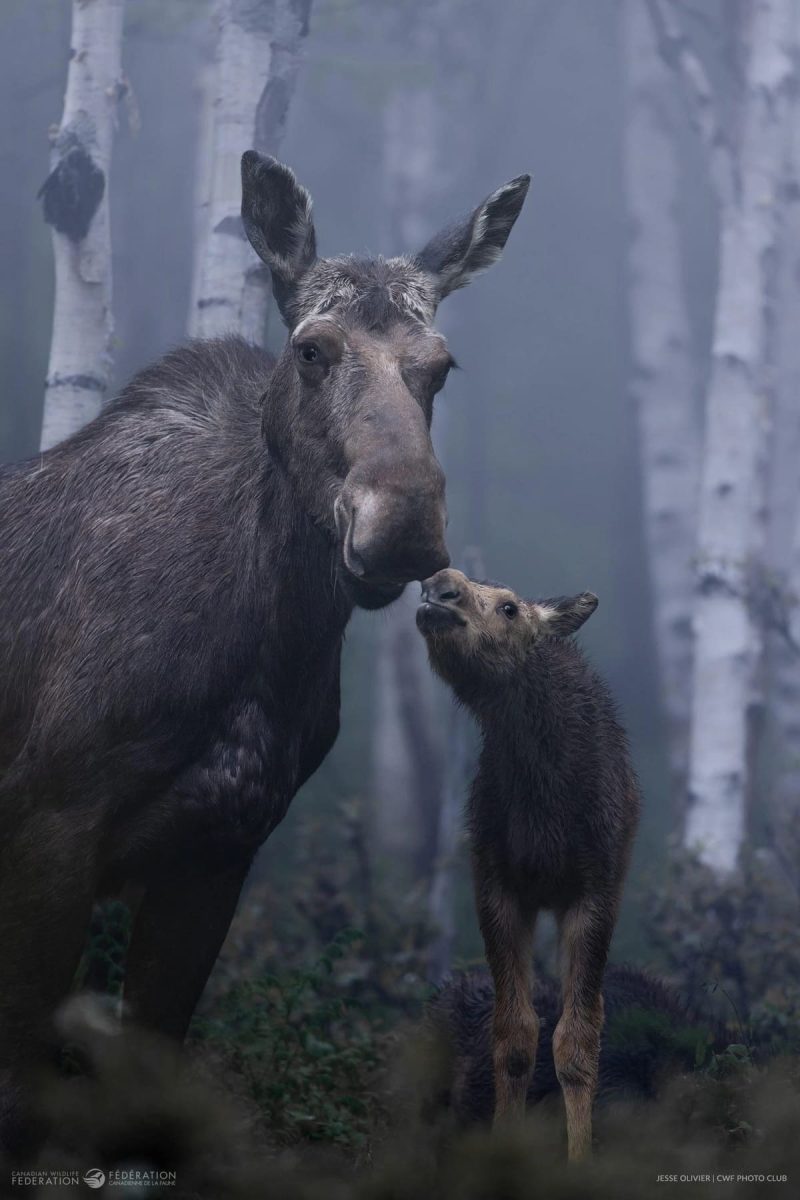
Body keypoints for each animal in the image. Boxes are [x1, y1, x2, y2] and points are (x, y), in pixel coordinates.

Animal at [0, 150, 527, 1132]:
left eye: (441, 365)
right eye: (311, 350)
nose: (402, 527)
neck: (268, 642)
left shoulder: (220, 847)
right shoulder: (48, 824)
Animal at [419, 573, 638, 1161]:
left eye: (510, 609)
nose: (438, 586)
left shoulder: (593, 891)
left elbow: (577, 1044)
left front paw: (579, 1158)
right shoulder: (497, 884)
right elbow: (514, 1037)